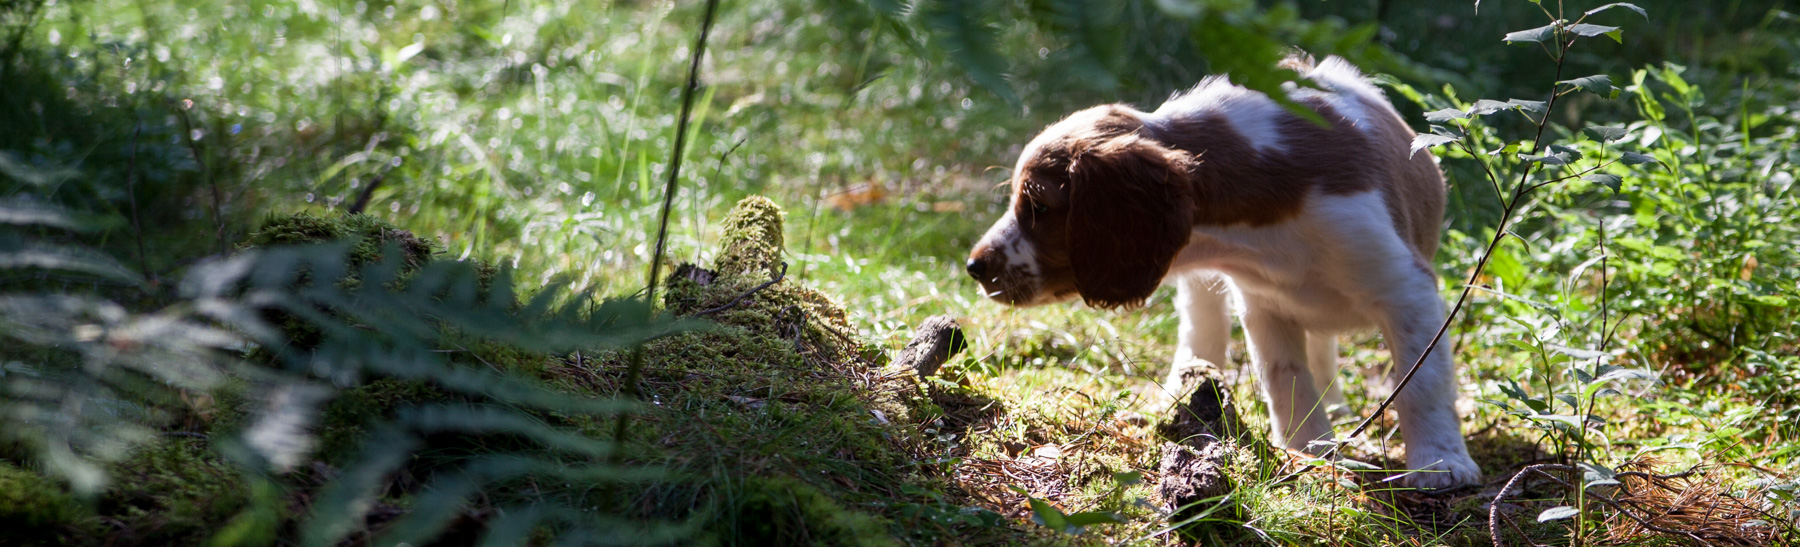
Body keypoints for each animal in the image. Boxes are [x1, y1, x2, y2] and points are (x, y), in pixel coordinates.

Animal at [972, 55, 1476, 489]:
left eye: (1038, 206)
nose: (975, 266)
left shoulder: (1405, 288)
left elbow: (1421, 381)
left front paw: (1439, 463)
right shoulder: (1264, 305)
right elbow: (1287, 379)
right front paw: (1310, 452)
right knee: (1205, 326)